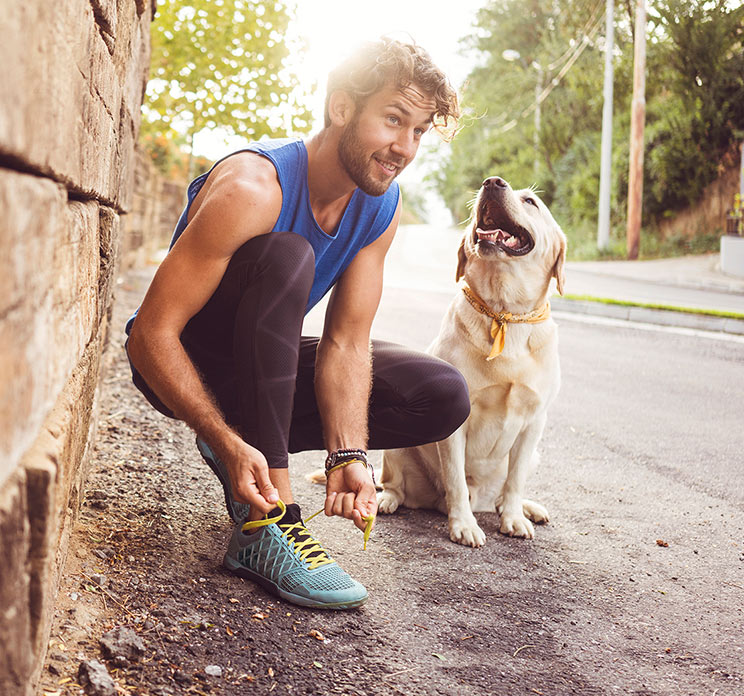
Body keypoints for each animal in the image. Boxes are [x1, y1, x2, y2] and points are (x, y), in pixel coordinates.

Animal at [378, 177, 564, 548]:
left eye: (531, 201)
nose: (492, 182)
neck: (505, 312)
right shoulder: (456, 423)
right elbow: (456, 480)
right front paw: (463, 525)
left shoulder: (535, 422)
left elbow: (515, 480)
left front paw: (513, 518)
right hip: (397, 446)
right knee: (396, 485)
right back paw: (386, 500)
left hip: (534, 454)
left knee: (503, 493)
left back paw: (525, 507)